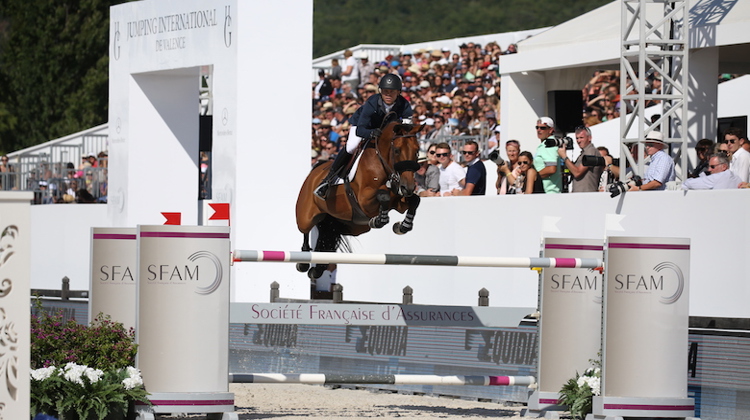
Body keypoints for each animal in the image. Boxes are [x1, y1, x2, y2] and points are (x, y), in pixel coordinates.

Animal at [296, 120, 426, 278]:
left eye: (417, 151)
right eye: (397, 150)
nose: (408, 187)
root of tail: (314, 171)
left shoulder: (398, 201)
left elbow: (414, 201)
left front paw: (402, 226)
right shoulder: (365, 200)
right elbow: (383, 195)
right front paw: (380, 219)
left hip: (353, 226)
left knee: (329, 234)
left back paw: (318, 268)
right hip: (306, 216)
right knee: (305, 230)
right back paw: (303, 262)